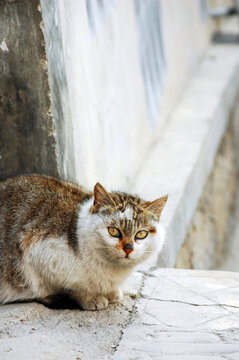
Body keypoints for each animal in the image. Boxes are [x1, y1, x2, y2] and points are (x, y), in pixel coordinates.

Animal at [0, 174, 168, 310]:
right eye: (113, 231)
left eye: (141, 234)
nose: (128, 248)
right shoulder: (33, 247)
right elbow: (71, 286)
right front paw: (92, 298)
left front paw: (110, 292)